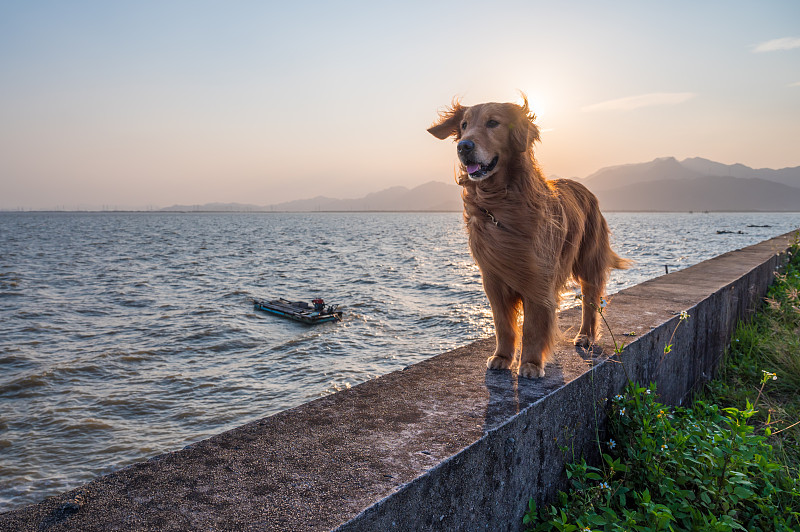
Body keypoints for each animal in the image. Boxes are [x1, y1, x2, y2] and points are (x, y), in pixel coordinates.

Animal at [428, 95, 628, 378]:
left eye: (493, 123)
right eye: (464, 125)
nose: (463, 145)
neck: (501, 203)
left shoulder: (538, 277)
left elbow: (533, 325)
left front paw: (531, 363)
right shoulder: (493, 278)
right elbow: (503, 324)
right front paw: (502, 356)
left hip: (588, 261)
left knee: (590, 301)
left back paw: (586, 336)